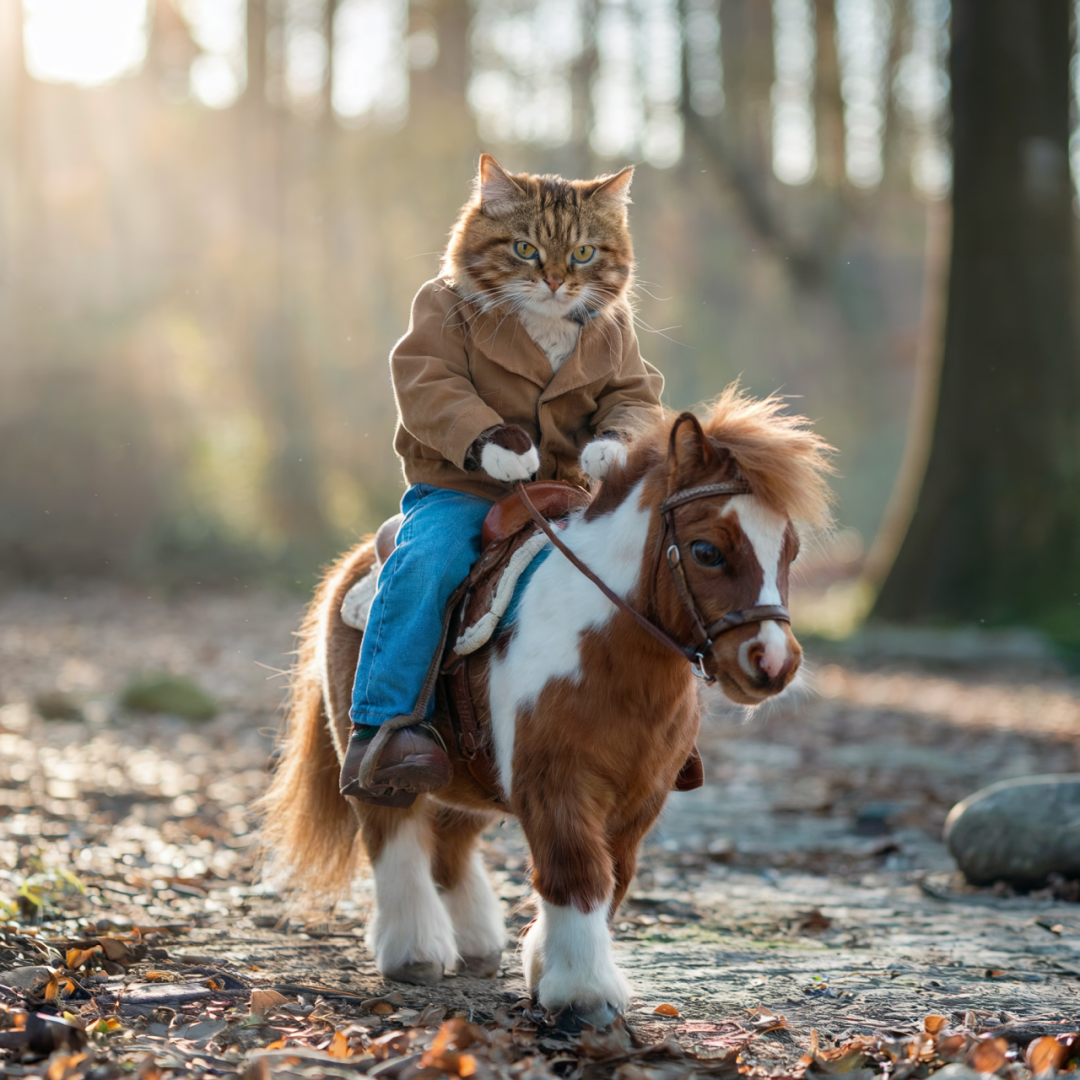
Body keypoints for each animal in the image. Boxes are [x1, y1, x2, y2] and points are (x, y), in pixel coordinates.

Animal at [259, 388, 833, 1028]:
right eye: (707, 550)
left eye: (790, 550)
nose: (774, 661)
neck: (608, 654)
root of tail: (358, 559)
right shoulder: (555, 783)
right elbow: (577, 873)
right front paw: (582, 994)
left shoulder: (640, 798)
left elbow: (615, 878)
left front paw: (543, 963)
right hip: (378, 765)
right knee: (394, 838)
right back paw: (414, 952)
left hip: (467, 775)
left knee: (451, 846)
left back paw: (480, 946)